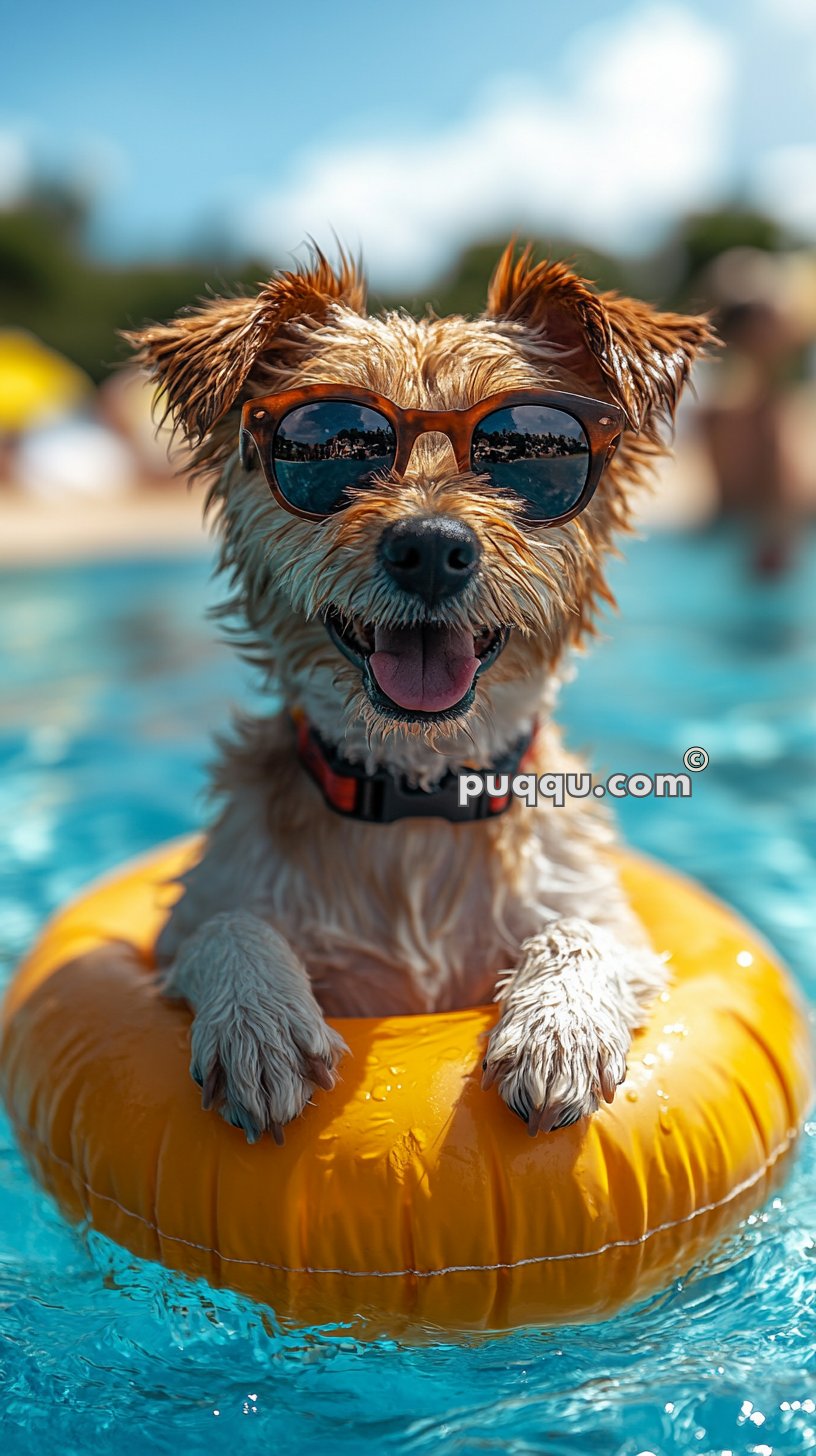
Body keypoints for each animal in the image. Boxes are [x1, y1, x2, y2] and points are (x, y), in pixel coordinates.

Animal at [126, 244, 708, 1141]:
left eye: (525, 453)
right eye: (331, 447)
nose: (430, 546)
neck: (419, 795)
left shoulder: (602, 910)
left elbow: (588, 928)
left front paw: (559, 1025)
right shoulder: (189, 919)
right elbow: (226, 922)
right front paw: (259, 1018)